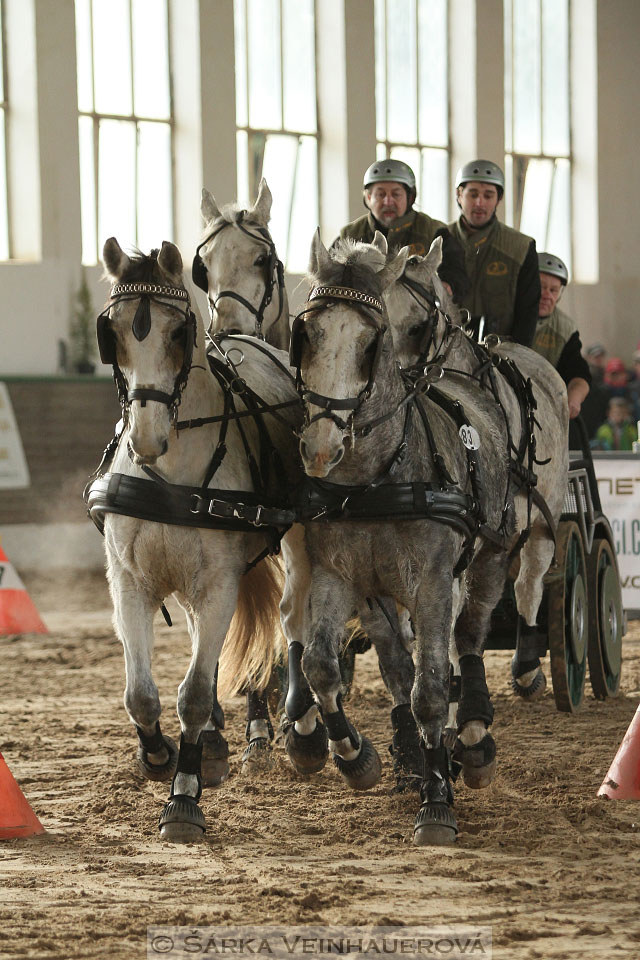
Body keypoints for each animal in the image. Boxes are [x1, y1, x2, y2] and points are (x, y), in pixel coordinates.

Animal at [91, 238, 308, 840]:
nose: (146, 439)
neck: (170, 474)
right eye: (113, 334)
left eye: (177, 333)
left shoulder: (219, 584)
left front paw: (183, 796)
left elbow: (190, 693)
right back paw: (214, 737)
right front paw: (159, 755)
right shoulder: (129, 583)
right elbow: (141, 694)